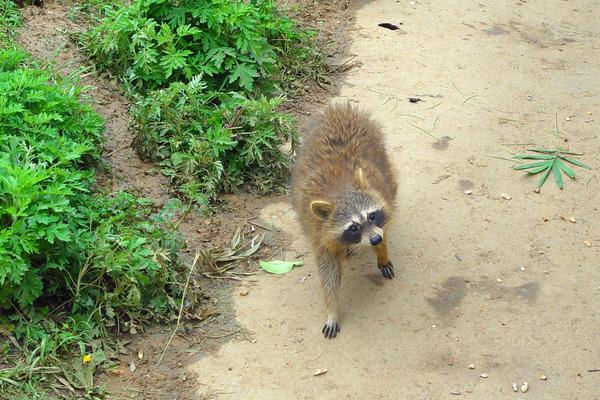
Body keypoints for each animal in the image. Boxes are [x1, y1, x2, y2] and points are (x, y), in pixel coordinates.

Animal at [290, 102, 398, 338]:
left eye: (372, 215)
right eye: (353, 227)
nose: (375, 240)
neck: (340, 192)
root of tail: (339, 108)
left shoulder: (383, 194)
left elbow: (386, 225)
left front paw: (382, 251)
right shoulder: (317, 230)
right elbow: (328, 270)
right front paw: (332, 308)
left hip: (387, 166)